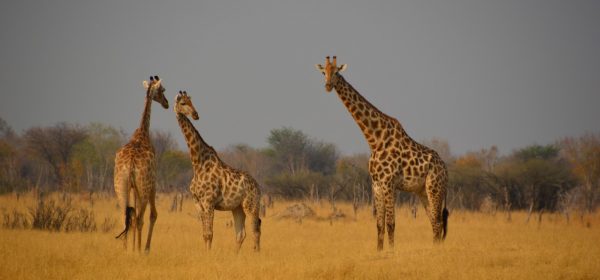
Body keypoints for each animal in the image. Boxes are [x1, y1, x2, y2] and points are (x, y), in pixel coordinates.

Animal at [114, 75, 169, 253]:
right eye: (162, 89)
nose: (166, 103)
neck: (143, 133)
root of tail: (131, 165)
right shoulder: (153, 183)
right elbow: (153, 215)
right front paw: (145, 248)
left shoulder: (132, 187)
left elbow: (131, 214)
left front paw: (132, 247)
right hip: (143, 188)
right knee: (139, 218)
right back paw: (138, 250)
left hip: (120, 187)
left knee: (125, 216)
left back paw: (126, 250)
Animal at [171, 91, 260, 253]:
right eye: (183, 103)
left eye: (191, 101)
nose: (195, 114)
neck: (198, 164)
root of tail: (259, 187)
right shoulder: (198, 203)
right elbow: (205, 234)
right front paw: (206, 254)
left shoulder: (209, 202)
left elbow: (210, 234)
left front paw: (209, 255)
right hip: (237, 208)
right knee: (241, 234)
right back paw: (235, 256)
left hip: (251, 205)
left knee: (255, 231)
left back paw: (256, 254)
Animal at [316, 56, 448, 249]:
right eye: (323, 72)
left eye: (337, 72)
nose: (327, 86)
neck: (374, 140)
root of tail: (446, 170)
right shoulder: (377, 184)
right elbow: (379, 225)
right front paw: (379, 251)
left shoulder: (388, 183)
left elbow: (391, 224)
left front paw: (391, 252)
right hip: (422, 191)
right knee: (434, 223)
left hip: (434, 188)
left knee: (438, 223)